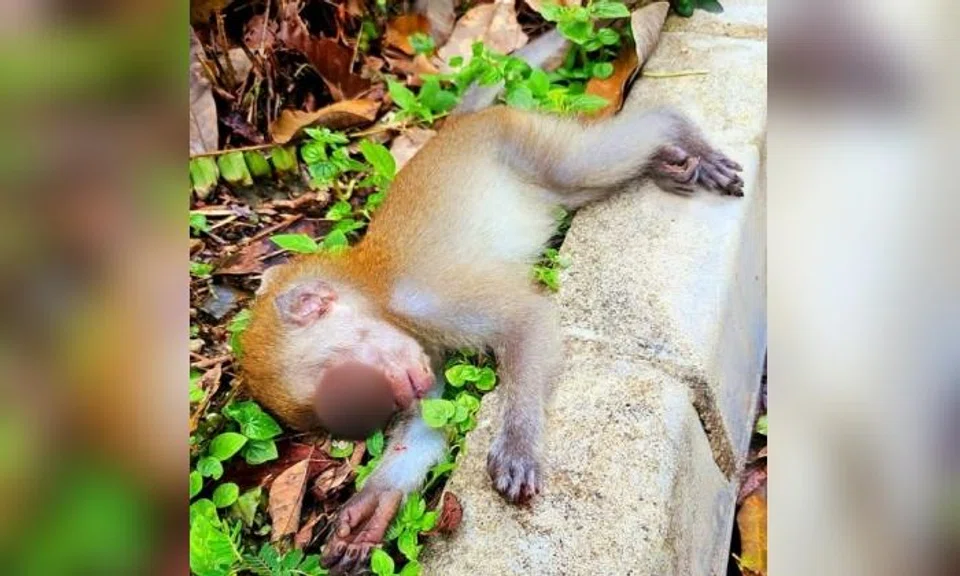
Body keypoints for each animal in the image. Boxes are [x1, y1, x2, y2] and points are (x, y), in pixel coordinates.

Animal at [239, 104, 743, 574]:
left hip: (518, 139)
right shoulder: (425, 354)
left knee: (579, 166)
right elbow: (428, 424)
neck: (376, 293)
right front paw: (375, 505)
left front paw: (517, 444)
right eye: (363, 411)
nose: (390, 405)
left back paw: (675, 129)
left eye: (351, 393)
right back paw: (665, 162)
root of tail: (467, 119)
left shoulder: (427, 300)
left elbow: (527, 320)